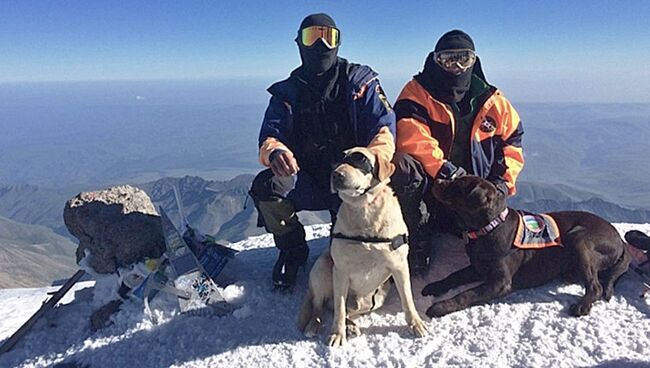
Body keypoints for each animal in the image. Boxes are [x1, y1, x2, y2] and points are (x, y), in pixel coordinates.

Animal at [298, 146, 428, 344]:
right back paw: (315, 324)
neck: (364, 210)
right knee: (321, 305)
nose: (336, 175)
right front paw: (337, 334)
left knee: (342, 309)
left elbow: (407, 299)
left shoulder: (399, 266)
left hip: (376, 297)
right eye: (338, 161)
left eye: (360, 159)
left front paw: (416, 324)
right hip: (322, 268)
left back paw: (351, 325)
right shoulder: (341, 271)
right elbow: (339, 309)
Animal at [420, 175, 628, 316]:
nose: (437, 180)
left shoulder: (500, 282)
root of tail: (620, 240)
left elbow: (467, 293)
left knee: (596, 286)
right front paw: (435, 286)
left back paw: (582, 306)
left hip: (579, 239)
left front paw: (440, 306)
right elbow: (454, 275)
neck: (489, 227)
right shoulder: (478, 267)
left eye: (456, 185)